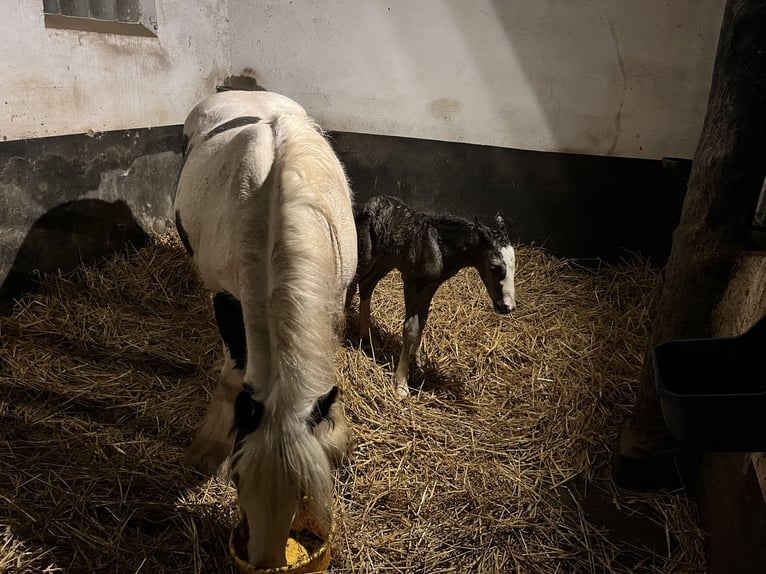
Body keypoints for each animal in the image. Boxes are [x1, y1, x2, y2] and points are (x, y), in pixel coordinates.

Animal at [174, 90, 357, 568]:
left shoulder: (336, 294)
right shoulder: (226, 299)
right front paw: (208, 447)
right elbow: (234, 375)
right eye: (237, 479)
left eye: (303, 493)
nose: (265, 560)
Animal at [351, 195, 516, 396]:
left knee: (366, 285)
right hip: (366, 254)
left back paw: (368, 337)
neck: (439, 246)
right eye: (495, 267)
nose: (507, 306)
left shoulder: (431, 285)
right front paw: (402, 383)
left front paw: (417, 363)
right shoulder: (411, 281)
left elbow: (423, 320)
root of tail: (367, 204)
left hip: (385, 260)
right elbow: (411, 328)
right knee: (352, 282)